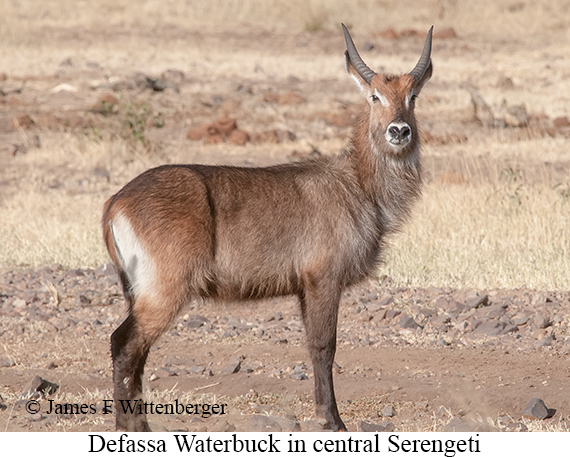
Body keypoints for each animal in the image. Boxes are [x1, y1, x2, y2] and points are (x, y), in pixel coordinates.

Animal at [102, 24, 430, 432]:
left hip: (138, 290)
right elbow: (324, 346)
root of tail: (116, 201)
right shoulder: (323, 279)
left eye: (412, 96)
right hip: (165, 289)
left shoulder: (304, 287)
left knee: (137, 352)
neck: (358, 186)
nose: (399, 131)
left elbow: (312, 345)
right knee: (124, 344)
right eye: (375, 96)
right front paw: (332, 420)